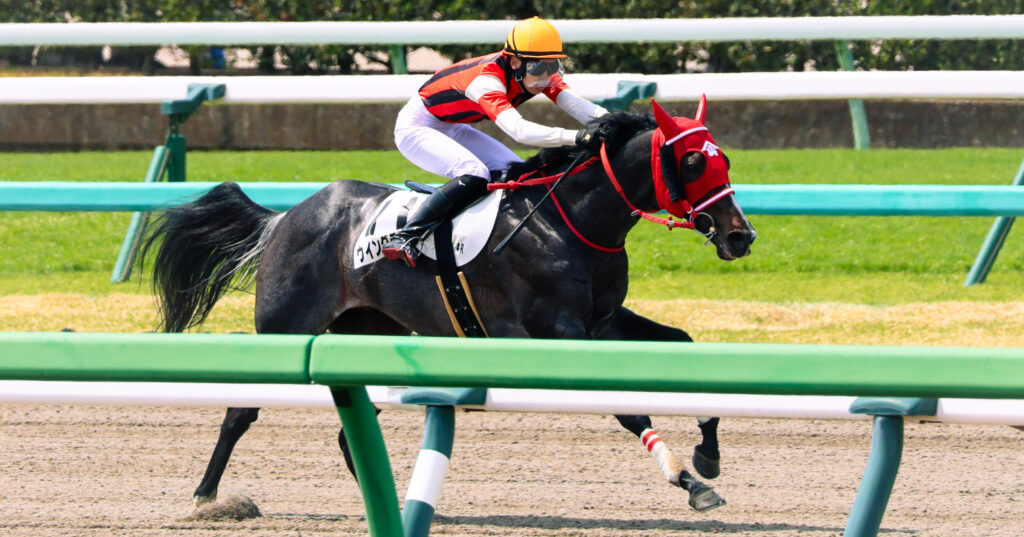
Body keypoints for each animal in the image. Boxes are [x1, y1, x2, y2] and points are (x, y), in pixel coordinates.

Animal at [141, 96, 756, 515]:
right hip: (287, 327)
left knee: (347, 432)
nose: (740, 236)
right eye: (694, 163)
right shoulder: (555, 332)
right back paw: (205, 496)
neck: (572, 222)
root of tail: (285, 217)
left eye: (724, 159)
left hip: (368, 331)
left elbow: (684, 347)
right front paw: (687, 478)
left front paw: (708, 454)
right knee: (240, 411)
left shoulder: (603, 323)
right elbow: (629, 410)